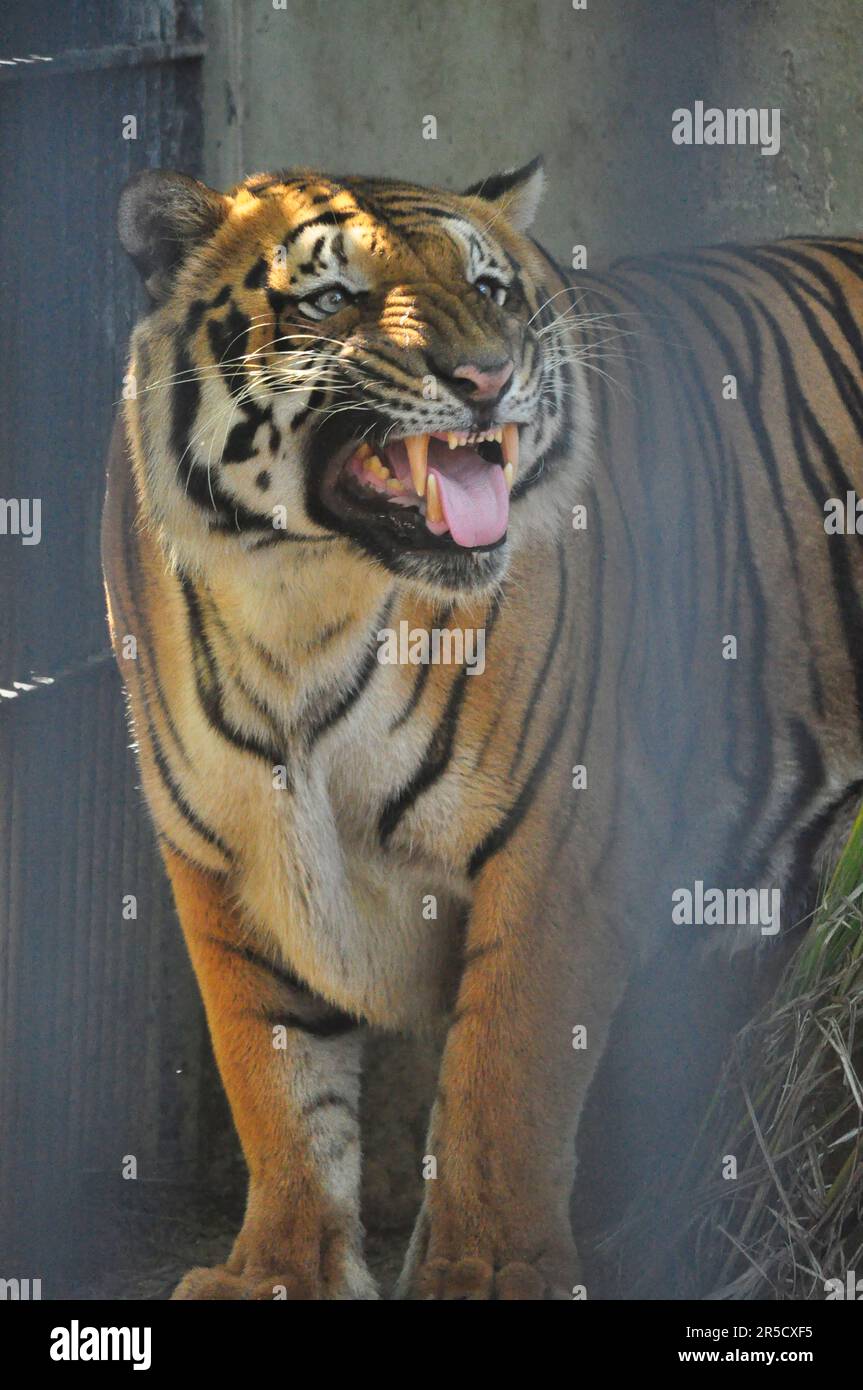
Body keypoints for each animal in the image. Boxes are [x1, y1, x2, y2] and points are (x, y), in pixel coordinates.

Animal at [102, 157, 863, 1295]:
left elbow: (504, 1081)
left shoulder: (560, 837)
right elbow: (275, 1081)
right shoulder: (220, 854)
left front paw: (487, 1272)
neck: (297, 605)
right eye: (332, 298)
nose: (485, 378)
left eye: (489, 289)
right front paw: (279, 1272)